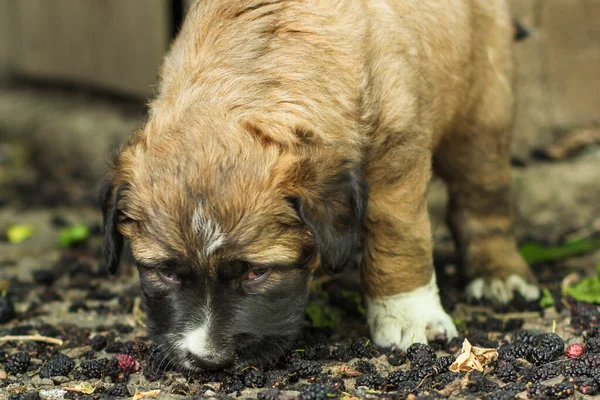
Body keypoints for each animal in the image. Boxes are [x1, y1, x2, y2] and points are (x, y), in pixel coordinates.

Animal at [98, 0, 540, 370]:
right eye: (165, 272)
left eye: (256, 273)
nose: (207, 360)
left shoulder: (397, 151)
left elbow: (399, 240)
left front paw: (407, 312)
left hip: (482, 113)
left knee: (483, 199)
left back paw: (499, 273)